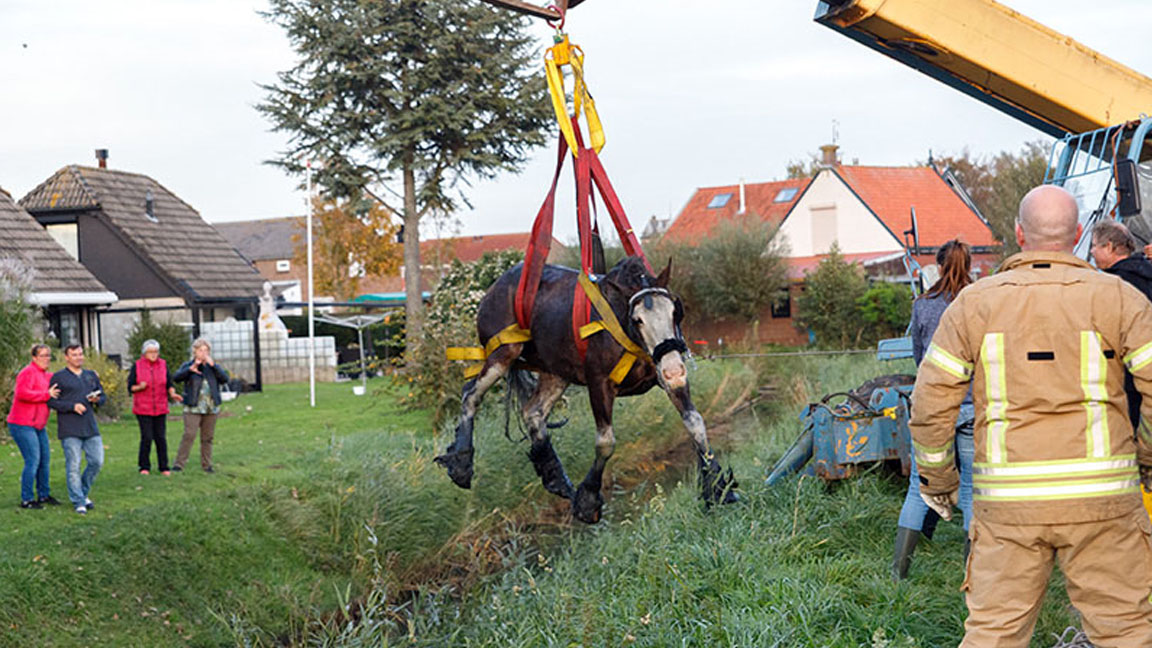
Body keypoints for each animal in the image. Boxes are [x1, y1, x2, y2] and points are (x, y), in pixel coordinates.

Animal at [433, 254, 737, 521]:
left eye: (676, 311)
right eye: (637, 319)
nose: (675, 369)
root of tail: (498, 284)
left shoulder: (665, 375)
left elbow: (695, 422)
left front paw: (716, 487)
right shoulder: (598, 383)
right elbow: (605, 442)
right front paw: (588, 497)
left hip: (556, 372)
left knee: (533, 412)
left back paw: (556, 479)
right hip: (502, 354)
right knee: (471, 395)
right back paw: (461, 461)